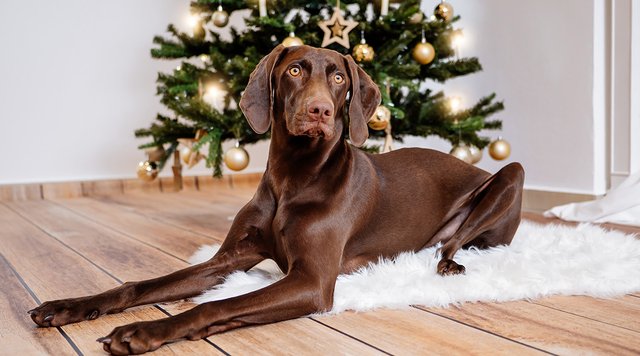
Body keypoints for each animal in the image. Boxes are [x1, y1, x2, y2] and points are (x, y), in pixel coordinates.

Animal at [27, 45, 524, 354]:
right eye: (295, 70)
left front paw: (144, 331)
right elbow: (139, 286)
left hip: (510, 176)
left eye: (339, 76)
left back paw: (445, 262)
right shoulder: (227, 260)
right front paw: (67, 306)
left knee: (452, 243)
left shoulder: (313, 282)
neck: (295, 178)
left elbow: (217, 304)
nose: (320, 111)